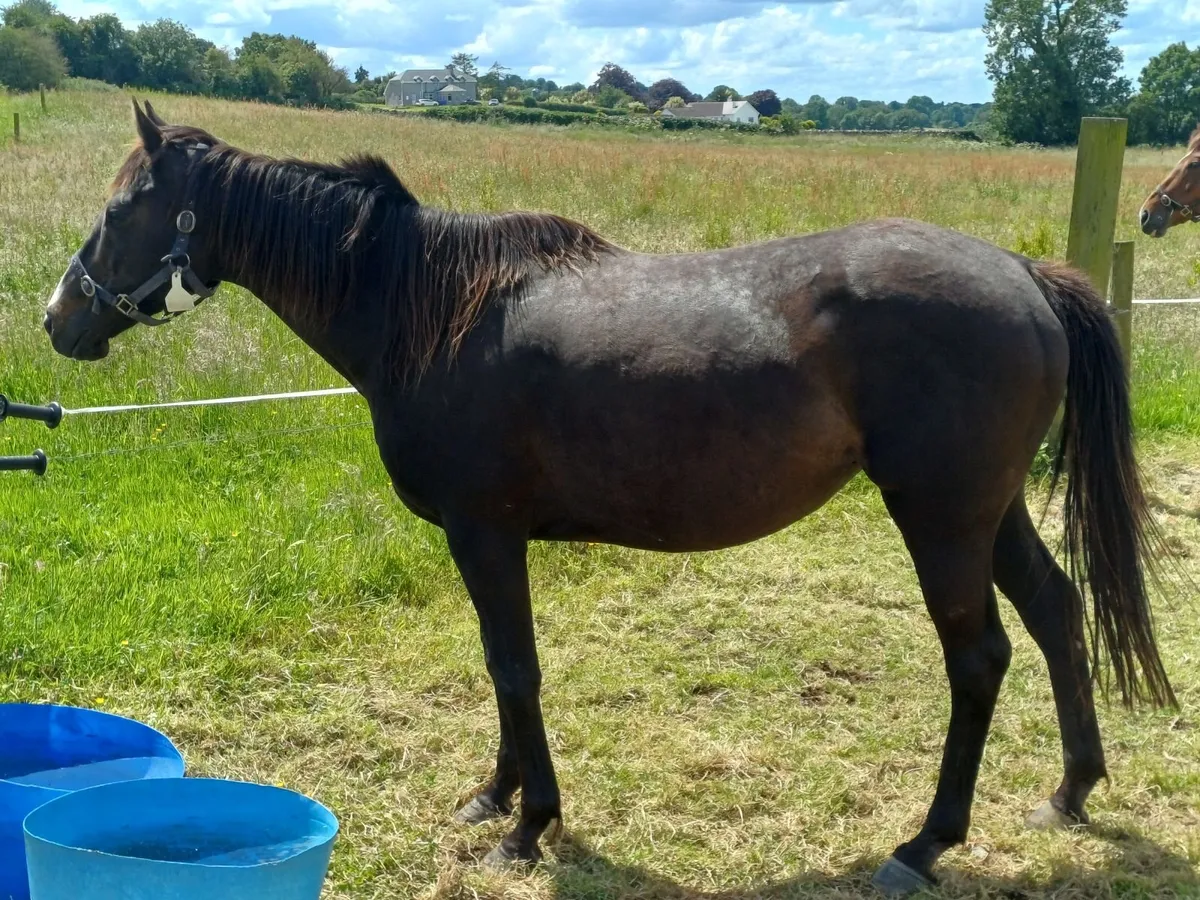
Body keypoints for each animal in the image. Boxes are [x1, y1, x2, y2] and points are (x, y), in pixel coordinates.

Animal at [43, 100, 1178, 895]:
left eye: (118, 209)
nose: (59, 319)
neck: (429, 312)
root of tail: (1027, 275)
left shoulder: (486, 535)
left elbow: (516, 668)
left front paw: (528, 826)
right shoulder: (485, 542)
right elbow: (501, 671)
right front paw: (494, 795)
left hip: (940, 516)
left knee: (980, 658)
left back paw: (925, 843)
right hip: (991, 511)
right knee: (1058, 612)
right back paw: (1071, 791)